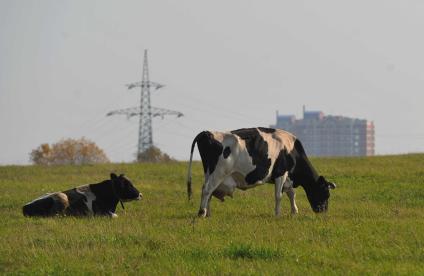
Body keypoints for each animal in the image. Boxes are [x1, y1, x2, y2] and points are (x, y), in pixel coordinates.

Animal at [187, 128, 336, 218]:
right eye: (325, 193)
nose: (323, 211)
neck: (291, 149)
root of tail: (207, 132)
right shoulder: (281, 173)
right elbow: (279, 196)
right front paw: (277, 214)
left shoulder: (287, 177)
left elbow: (291, 193)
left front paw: (294, 211)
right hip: (218, 172)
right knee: (207, 190)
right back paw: (202, 213)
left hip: (209, 173)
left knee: (208, 191)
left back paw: (208, 214)